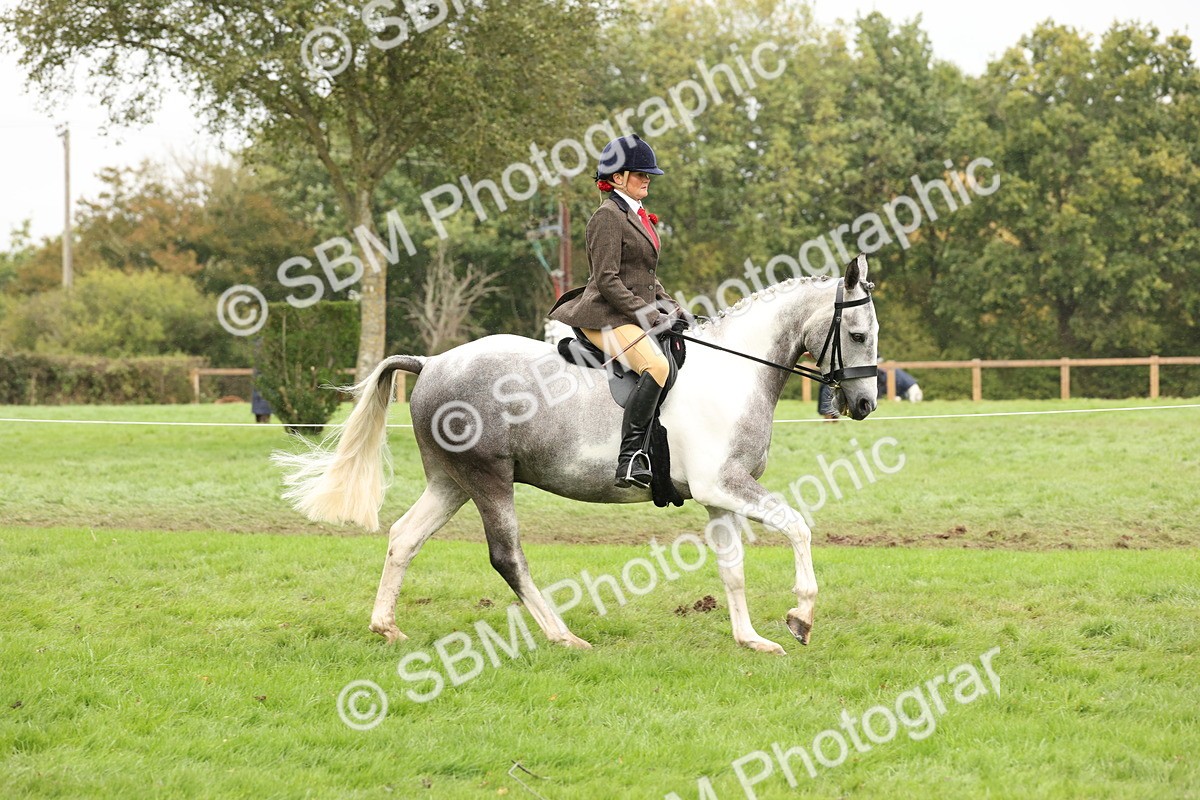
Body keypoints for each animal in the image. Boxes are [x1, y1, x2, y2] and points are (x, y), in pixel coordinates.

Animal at [273, 255, 879, 654]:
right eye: (856, 333)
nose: (865, 404)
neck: (736, 371)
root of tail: (433, 362)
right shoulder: (723, 486)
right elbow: (798, 526)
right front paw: (800, 616)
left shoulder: (719, 495)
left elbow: (732, 569)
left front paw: (750, 639)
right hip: (489, 479)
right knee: (507, 557)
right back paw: (563, 635)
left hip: (451, 482)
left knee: (404, 537)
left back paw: (386, 627)